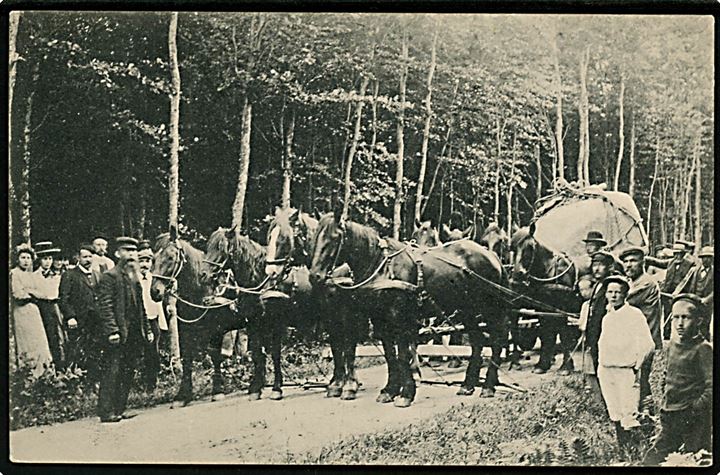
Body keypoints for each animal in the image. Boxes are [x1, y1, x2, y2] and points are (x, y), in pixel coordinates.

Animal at [308, 212, 506, 410]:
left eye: (334, 238)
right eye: (315, 237)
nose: (314, 276)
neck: (382, 267)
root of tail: (491, 255)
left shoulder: (399, 317)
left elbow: (403, 354)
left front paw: (406, 394)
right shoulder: (381, 320)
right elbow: (390, 355)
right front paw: (389, 390)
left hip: (489, 308)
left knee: (497, 341)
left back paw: (488, 386)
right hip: (467, 309)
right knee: (477, 342)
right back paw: (467, 385)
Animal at [506, 226, 580, 376]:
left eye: (530, 247)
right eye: (512, 248)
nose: (517, 277)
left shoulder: (562, 308)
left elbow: (564, 334)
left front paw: (565, 367)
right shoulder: (542, 308)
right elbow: (546, 334)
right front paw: (542, 364)